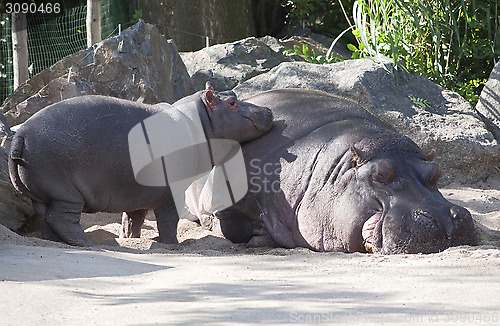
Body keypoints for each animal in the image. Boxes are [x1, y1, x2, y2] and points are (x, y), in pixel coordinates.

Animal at [7, 83, 274, 246]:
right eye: (232, 103)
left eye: (233, 95)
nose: (268, 109)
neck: (198, 122)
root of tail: (21, 134)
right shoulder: (170, 192)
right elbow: (168, 220)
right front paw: (170, 244)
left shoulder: (136, 192)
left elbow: (133, 218)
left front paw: (131, 238)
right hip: (65, 193)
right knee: (61, 218)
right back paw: (85, 243)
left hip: (41, 194)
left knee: (44, 217)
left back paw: (56, 242)